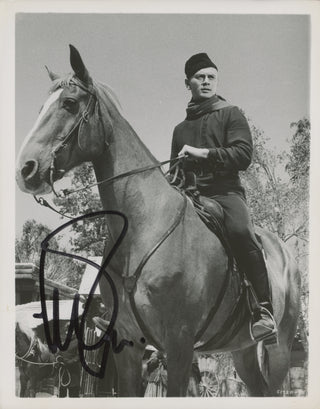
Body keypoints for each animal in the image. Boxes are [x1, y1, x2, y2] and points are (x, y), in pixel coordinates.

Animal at [15, 44, 300, 396]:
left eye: (69, 103)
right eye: (42, 106)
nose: (25, 169)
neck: (143, 227)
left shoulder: (178, 345)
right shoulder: (128, 345)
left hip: (279, 349)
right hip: (243, 351)